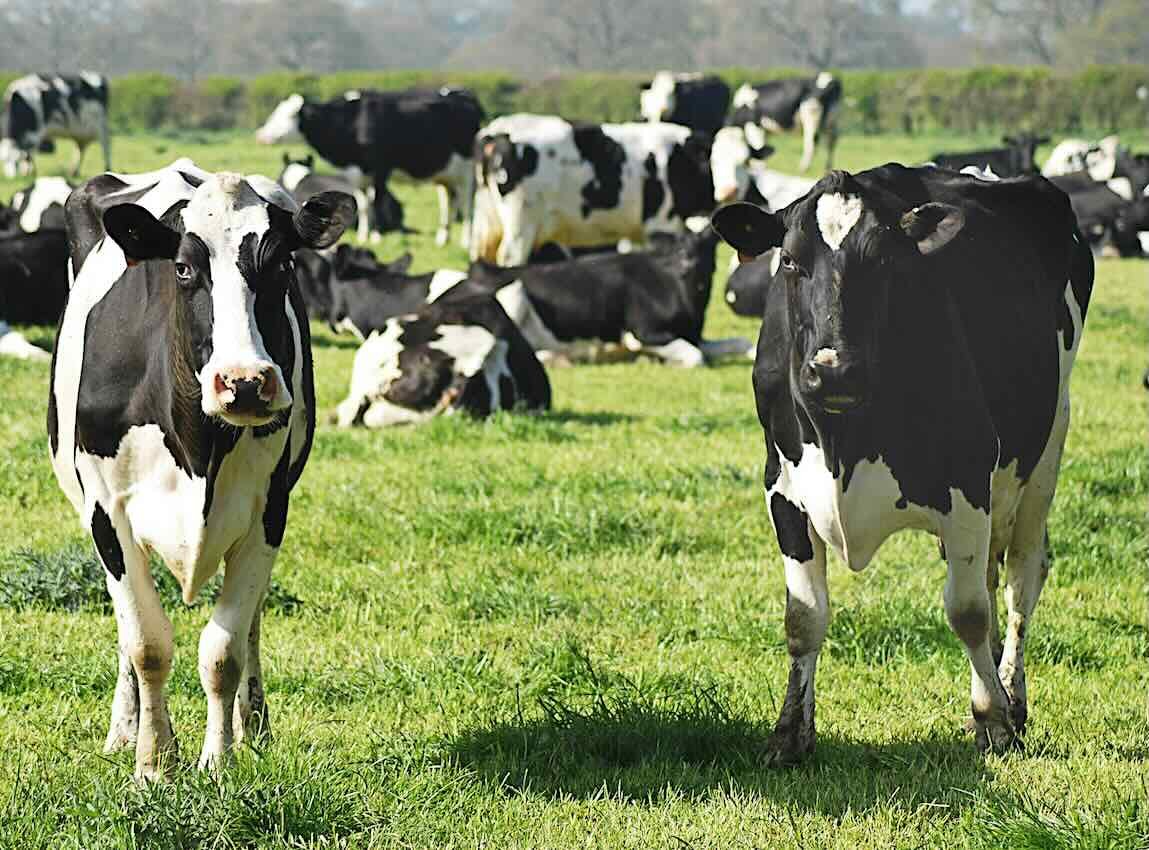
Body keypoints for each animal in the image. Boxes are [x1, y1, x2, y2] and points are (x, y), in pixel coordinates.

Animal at [49, 159, 353, 781]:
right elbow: (146, 644)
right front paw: (153, 763)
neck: (198, 447)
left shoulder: (268, 512)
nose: (245, 381)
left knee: (252, 619)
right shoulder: (106, 513)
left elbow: (223, 649)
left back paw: (253, 725)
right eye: (185, 267)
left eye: (283, 264)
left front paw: (218, 760)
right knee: (127, 633)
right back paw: (124, 729)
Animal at [255, 87, 484, 246]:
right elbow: (364, 205)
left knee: (467, 203)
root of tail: (465, 95)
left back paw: (466, 240)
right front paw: (364, 235)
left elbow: (377, 202)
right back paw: (443, 238)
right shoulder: (357, 174)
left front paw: (376, 236)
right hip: (445, 175)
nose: (261, 136)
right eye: (276, 111)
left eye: (291, 115)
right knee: (449, 202)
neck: (353, 120)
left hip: (467, 169)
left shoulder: (381, 170)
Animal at [470, 114, 728, 265]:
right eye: (718, 161)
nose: (726, 191)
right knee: (510, 258)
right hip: (521, 224)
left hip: (488, 222)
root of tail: (496, 131)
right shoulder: (661, 223)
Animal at [710, 163, 1092, 762]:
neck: (843, 439)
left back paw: (1013, 697)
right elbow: (803, 617)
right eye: (790, 259)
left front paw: (993, 720)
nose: (833, 370)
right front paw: (790, 733)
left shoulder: (967, 482)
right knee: (992, 576)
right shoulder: (783, 490)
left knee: (1020, 580)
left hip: (1046, 448)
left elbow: (967, 611)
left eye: (884, 260)